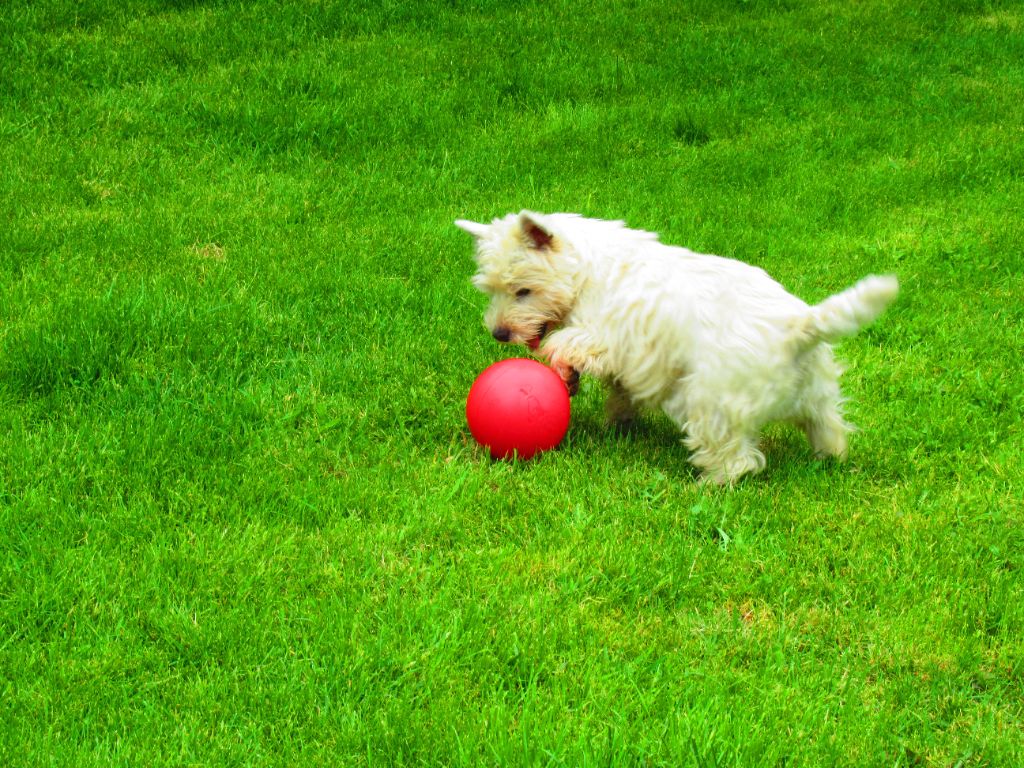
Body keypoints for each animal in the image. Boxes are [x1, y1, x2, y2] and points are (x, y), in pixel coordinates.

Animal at [457, 211, 898, 484]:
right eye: (490, 289)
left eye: (523, 290)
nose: (499, 333)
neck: (586, 269)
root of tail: (799, 329)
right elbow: (620, 392)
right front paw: (617, 420)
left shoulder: (607, 335)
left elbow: (568, 344)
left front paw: (563, 366)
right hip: (817, 395)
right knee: (829, 427)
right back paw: (830, 458)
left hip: (712, 400)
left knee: (737, 458)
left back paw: (707, 484)